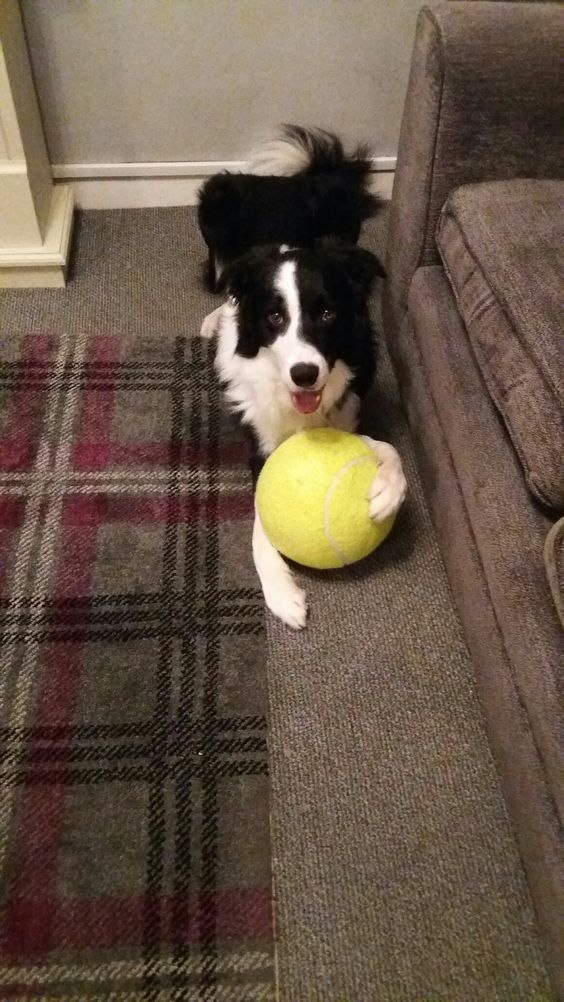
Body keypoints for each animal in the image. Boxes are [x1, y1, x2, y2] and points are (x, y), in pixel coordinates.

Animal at [200, 127, 408, 625]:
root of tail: (292, 179)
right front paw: (280, 591)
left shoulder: (345, 414)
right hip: (214, 203)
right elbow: (260, 515)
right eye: (274, 317)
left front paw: (386, 491)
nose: (305, 374)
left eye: (328, 314)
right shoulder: (261, 447)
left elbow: (387, 448)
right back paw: (214, 318)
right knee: (220, 285)